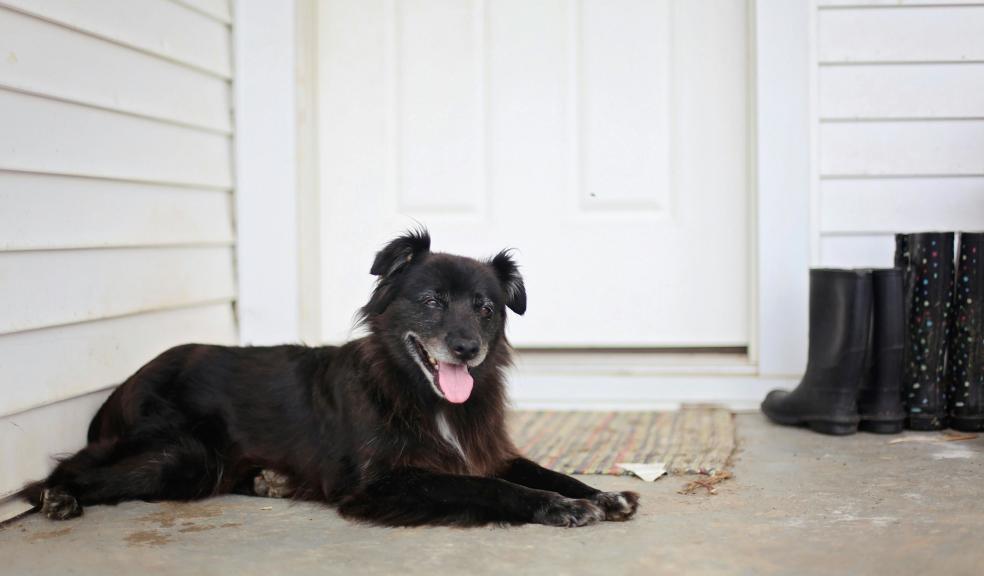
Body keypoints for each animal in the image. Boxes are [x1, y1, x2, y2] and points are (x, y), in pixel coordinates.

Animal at [23, 230, 640, 528]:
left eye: (486, 308)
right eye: (432, 302)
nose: (468, 349)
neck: (419, 392)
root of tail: (126, 383)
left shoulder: (484, 452)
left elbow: (547, 472)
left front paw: (601, 494)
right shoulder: (385, 482)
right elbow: (490, 488)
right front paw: (556, 508)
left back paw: (270, 481)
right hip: (180, 454)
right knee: (65, 471)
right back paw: (58, 499)